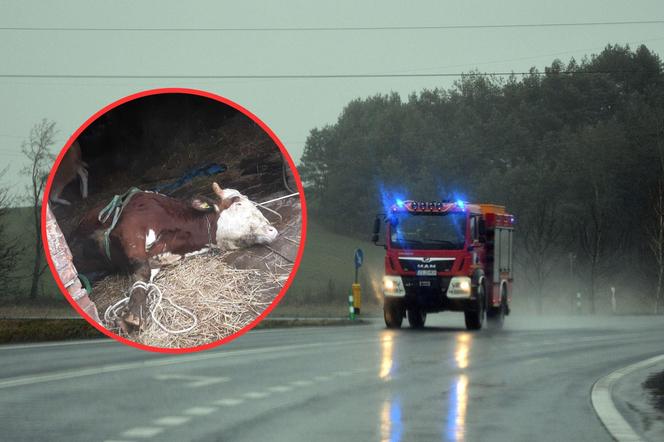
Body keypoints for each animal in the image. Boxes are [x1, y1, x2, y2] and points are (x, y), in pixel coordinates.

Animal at [72, 182, 278, 332]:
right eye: (238, 203)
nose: (273, 230)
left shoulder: (157, 262)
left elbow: (144, 277)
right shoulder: (131, 228)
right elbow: (142, 269)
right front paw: (134, 315)